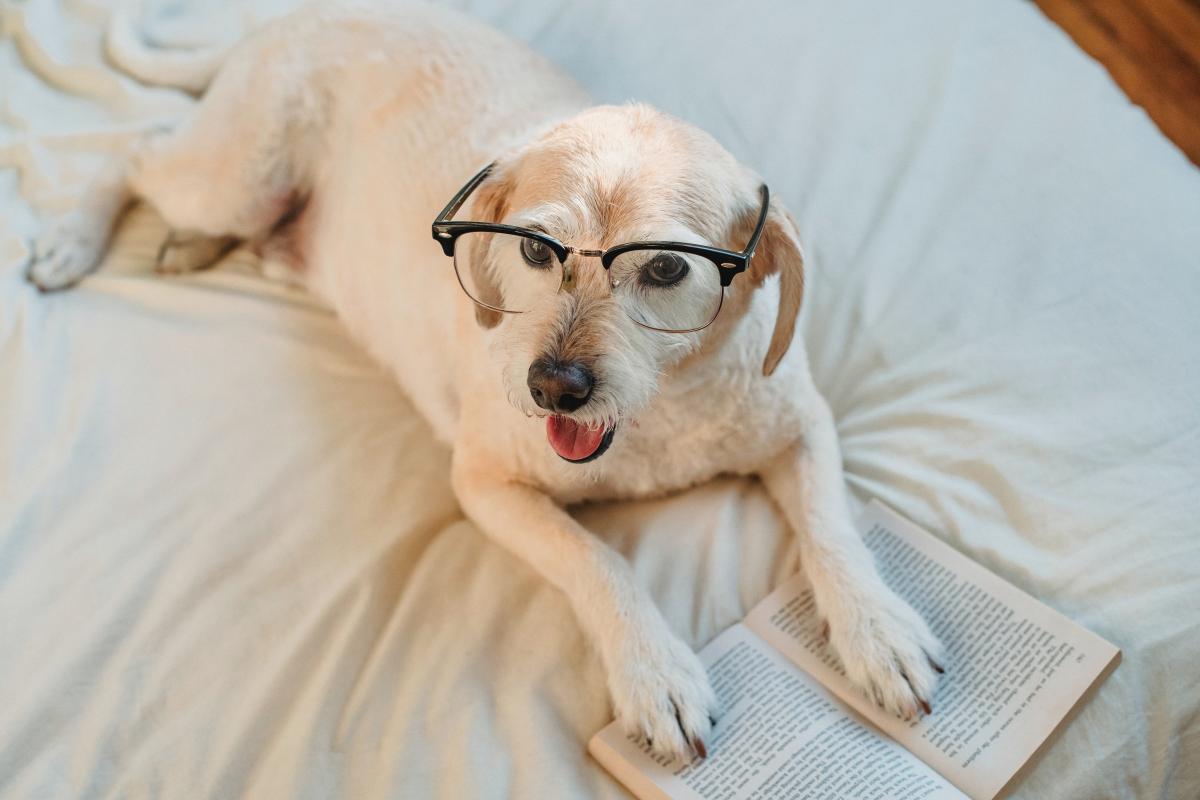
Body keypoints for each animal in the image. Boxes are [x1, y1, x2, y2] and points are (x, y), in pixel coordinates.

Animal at [23, 0, 940, 762]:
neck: (660, 417)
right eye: (533, 247)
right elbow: (597, 560)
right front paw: (654, 671)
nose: (553, 387)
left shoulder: (803, 423)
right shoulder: (486, 486)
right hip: (237, 175)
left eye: (667, 268)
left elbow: (832, 526)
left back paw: (186, 245)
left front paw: (877, 628)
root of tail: (298, 13)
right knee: (137, 147)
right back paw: (76, 239)